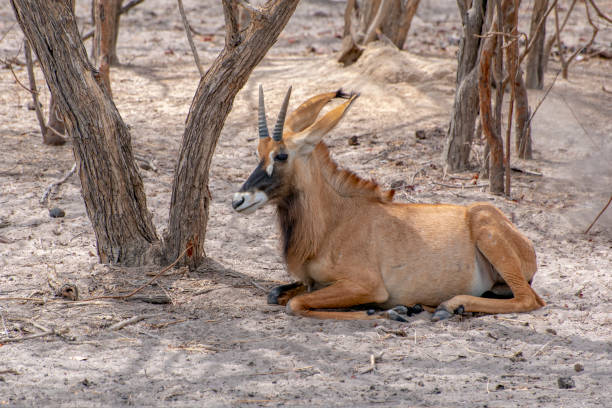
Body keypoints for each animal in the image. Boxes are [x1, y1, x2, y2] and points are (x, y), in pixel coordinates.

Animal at [233, 86, 544, 322]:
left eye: (281, 155)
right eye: (259, 152)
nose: (239, 200)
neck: (333, 221)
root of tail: (526, 243)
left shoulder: (366, 285)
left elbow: (295, 304)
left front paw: (384, 312)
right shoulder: (312, 282)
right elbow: (276, 294)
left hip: (488, 232)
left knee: (530, 299)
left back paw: (450, 305)